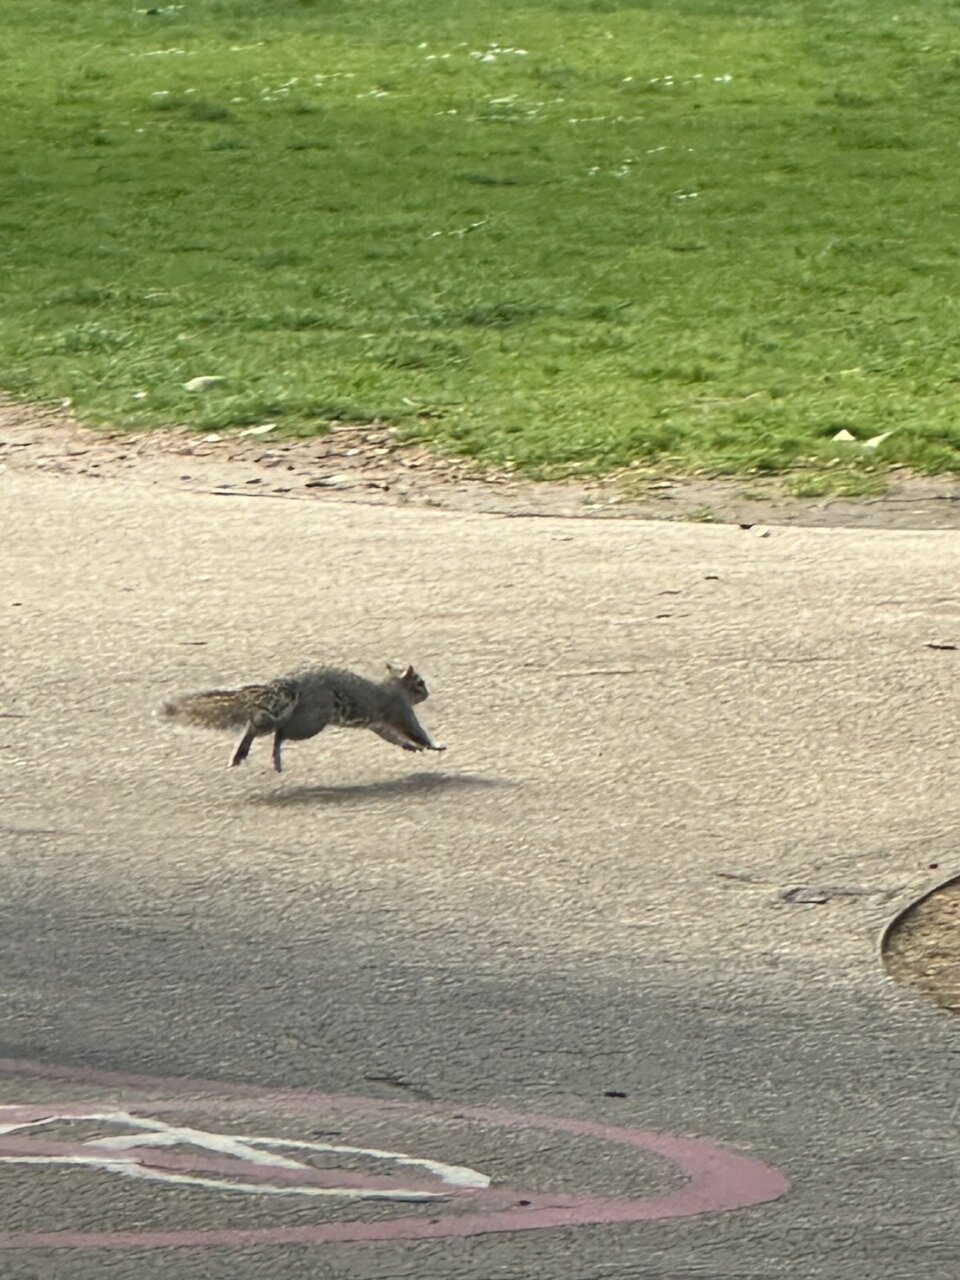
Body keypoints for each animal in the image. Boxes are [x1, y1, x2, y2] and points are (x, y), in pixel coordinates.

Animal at [162, 665, 448, 773]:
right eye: (419, 682)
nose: (428, 692)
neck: (393, 686)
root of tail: (291, 684)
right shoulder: (398, 710)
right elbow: (414, 730)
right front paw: (433, 745)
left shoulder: (378, 723)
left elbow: (392, 737)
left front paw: (409, 747)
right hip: (310, 723)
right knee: (276, 731)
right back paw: (272, 755)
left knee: (261, 725)